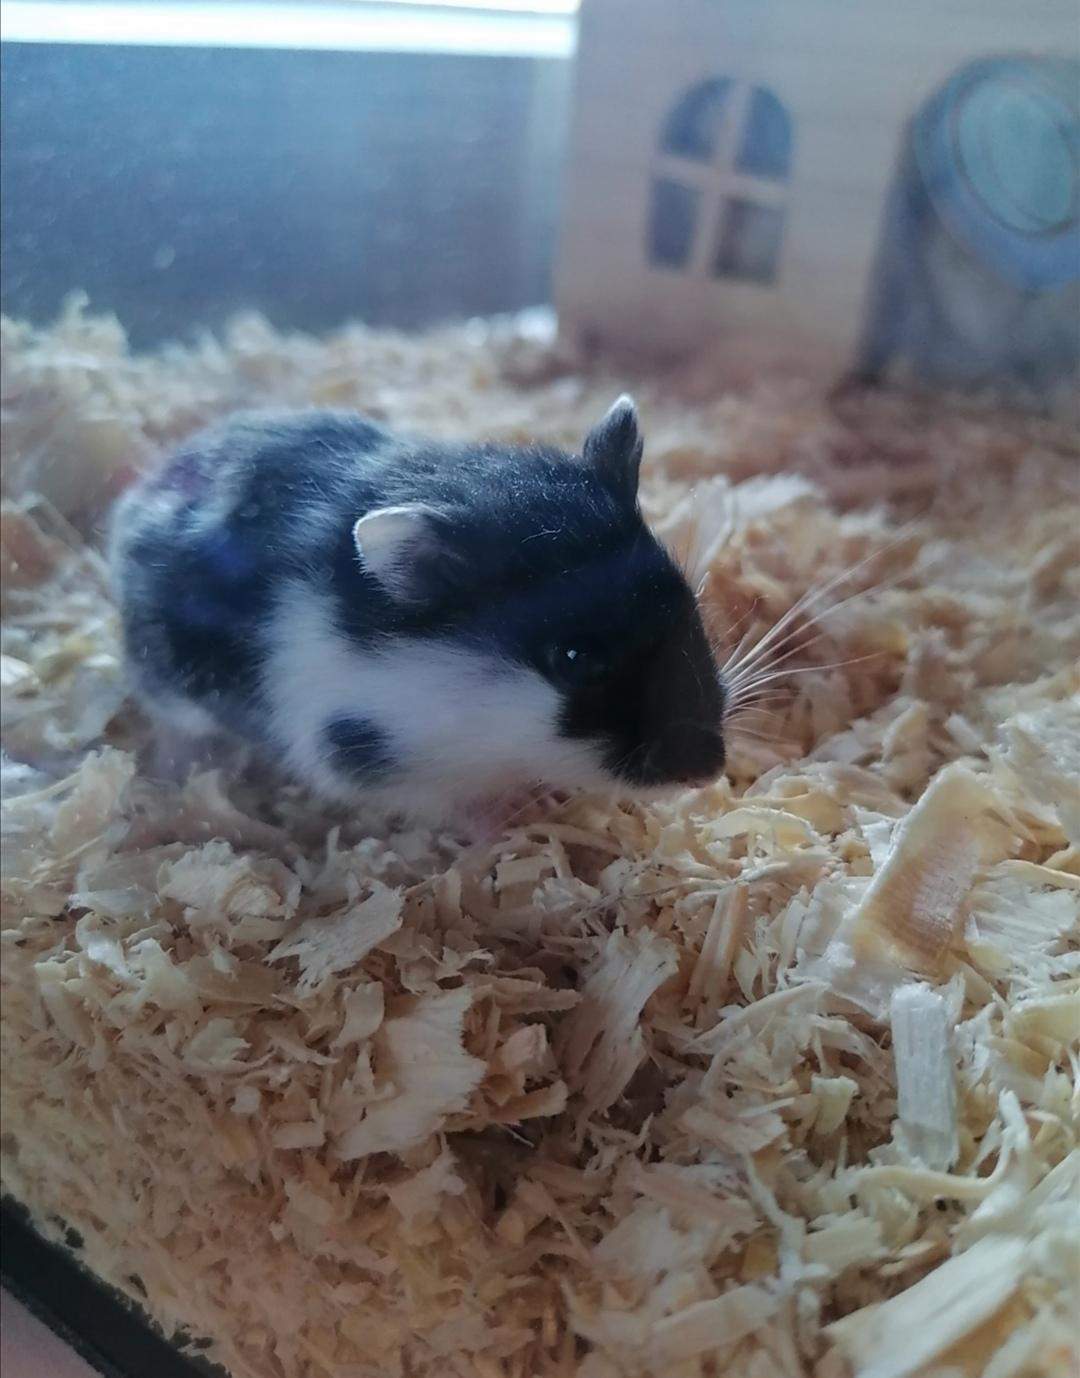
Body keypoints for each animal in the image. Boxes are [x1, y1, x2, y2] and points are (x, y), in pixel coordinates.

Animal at [108, 398, 726, 826]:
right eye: (573, 659)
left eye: (685, 602)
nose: (708, 775)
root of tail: (135, 500)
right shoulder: (362, 757)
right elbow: (449, 804)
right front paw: (515, 820)